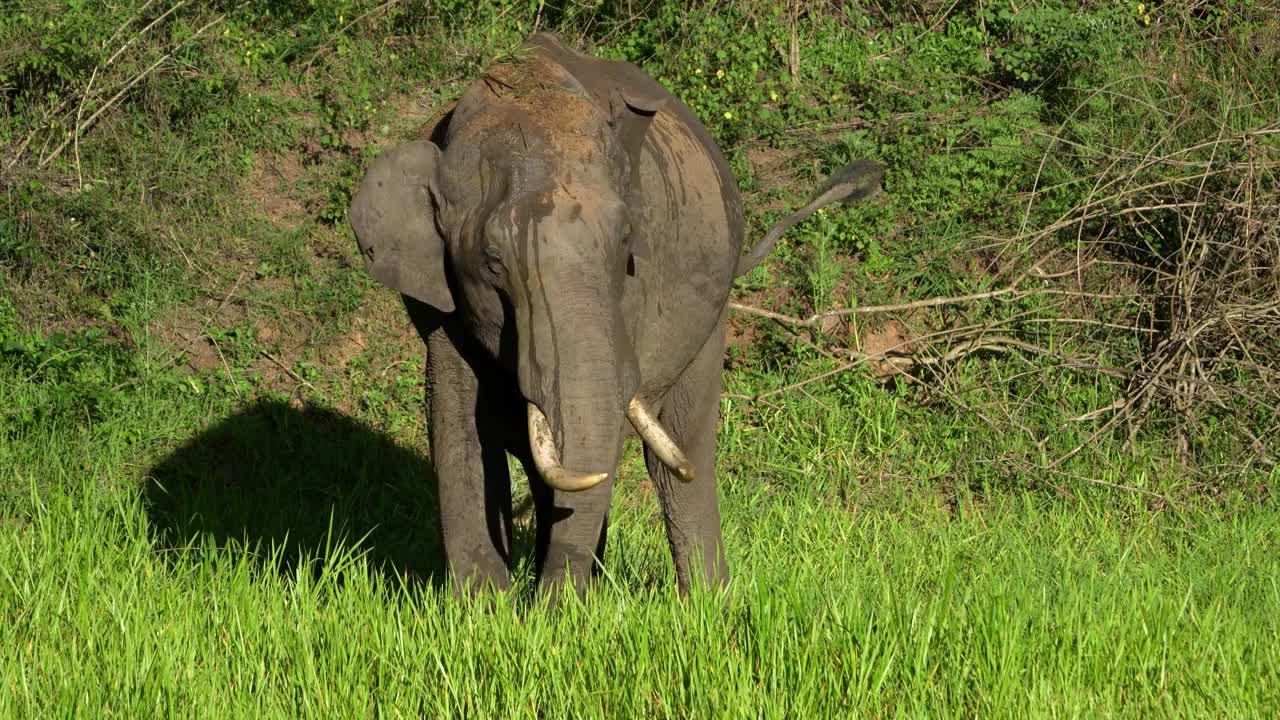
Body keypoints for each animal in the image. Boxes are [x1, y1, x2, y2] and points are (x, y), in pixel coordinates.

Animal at [350, 32, 880, 594]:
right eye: (492, 264)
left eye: (626, 243)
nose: (548, 607)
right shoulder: (443, 300)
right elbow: (459, 430)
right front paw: (485, 609)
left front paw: (560, 607)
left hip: (710, 314)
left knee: (680, 453)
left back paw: (706, 601)